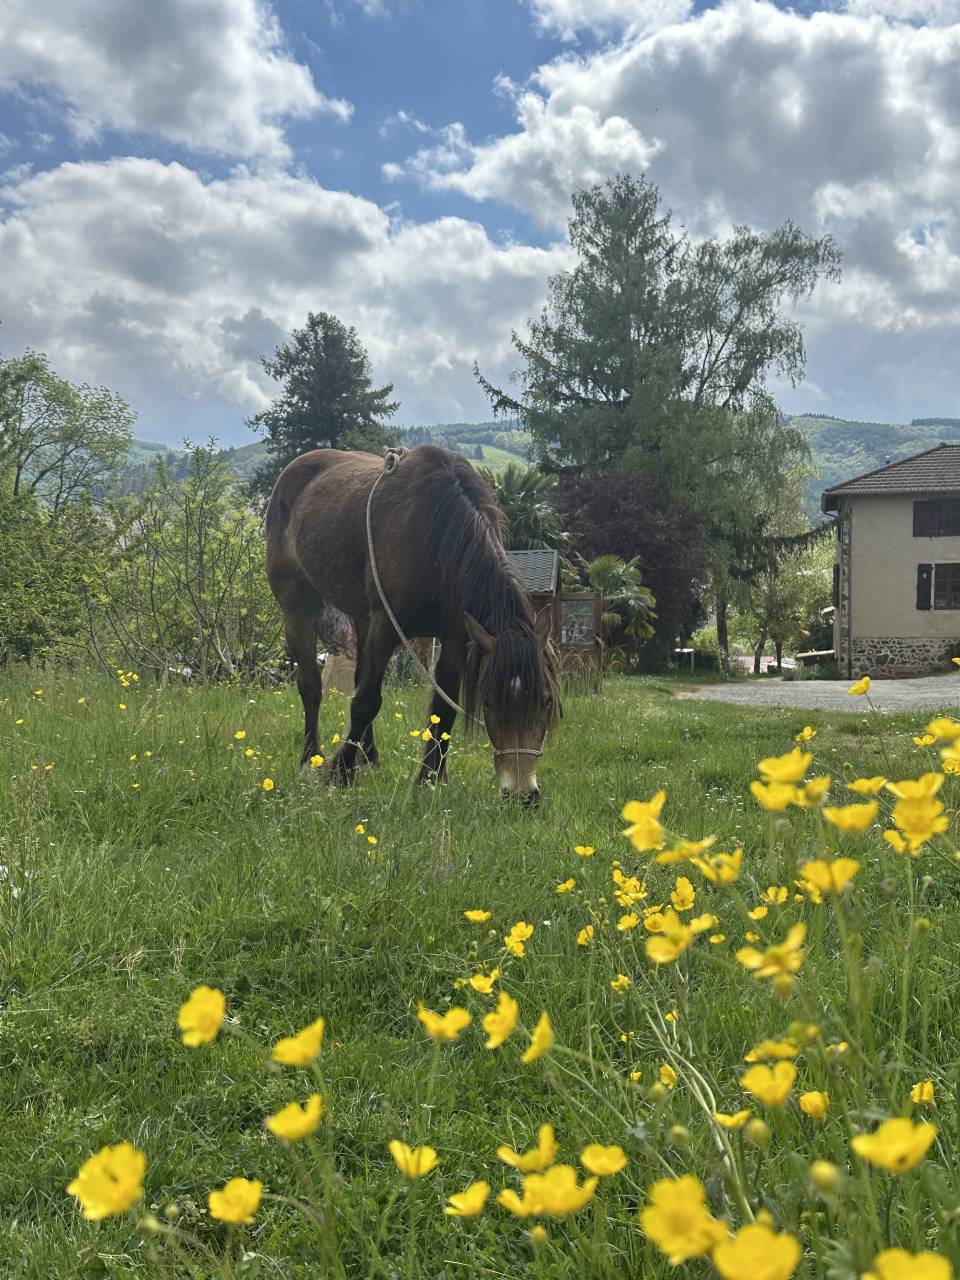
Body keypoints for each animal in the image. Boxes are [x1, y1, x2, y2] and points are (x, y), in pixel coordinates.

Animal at [264, 444, 558, 802]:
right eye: (489, 701)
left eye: (546, 699)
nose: (522, 795)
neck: (435, 542)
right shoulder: (386, 627)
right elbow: (366, 702)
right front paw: (340, 772)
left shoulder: (454, 637)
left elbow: (443, 708)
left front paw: (429, 779)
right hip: (297, 603)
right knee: (311, 684)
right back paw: (311, 760)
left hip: (360, 617)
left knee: (359, 677)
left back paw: (369, 757)